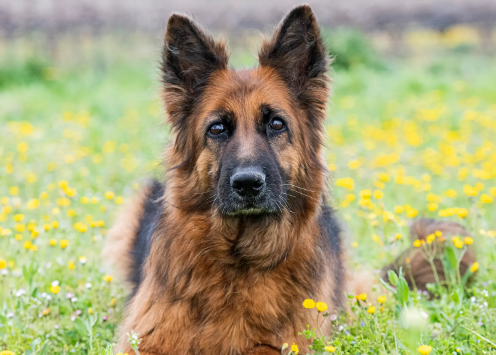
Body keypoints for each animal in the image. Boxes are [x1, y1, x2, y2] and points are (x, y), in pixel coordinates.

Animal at [106, 3, 474, 355]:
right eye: (217, 128)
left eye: (276, 124)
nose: (247, 184)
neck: (240, 261)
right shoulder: (146, 338)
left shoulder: (284, 342)